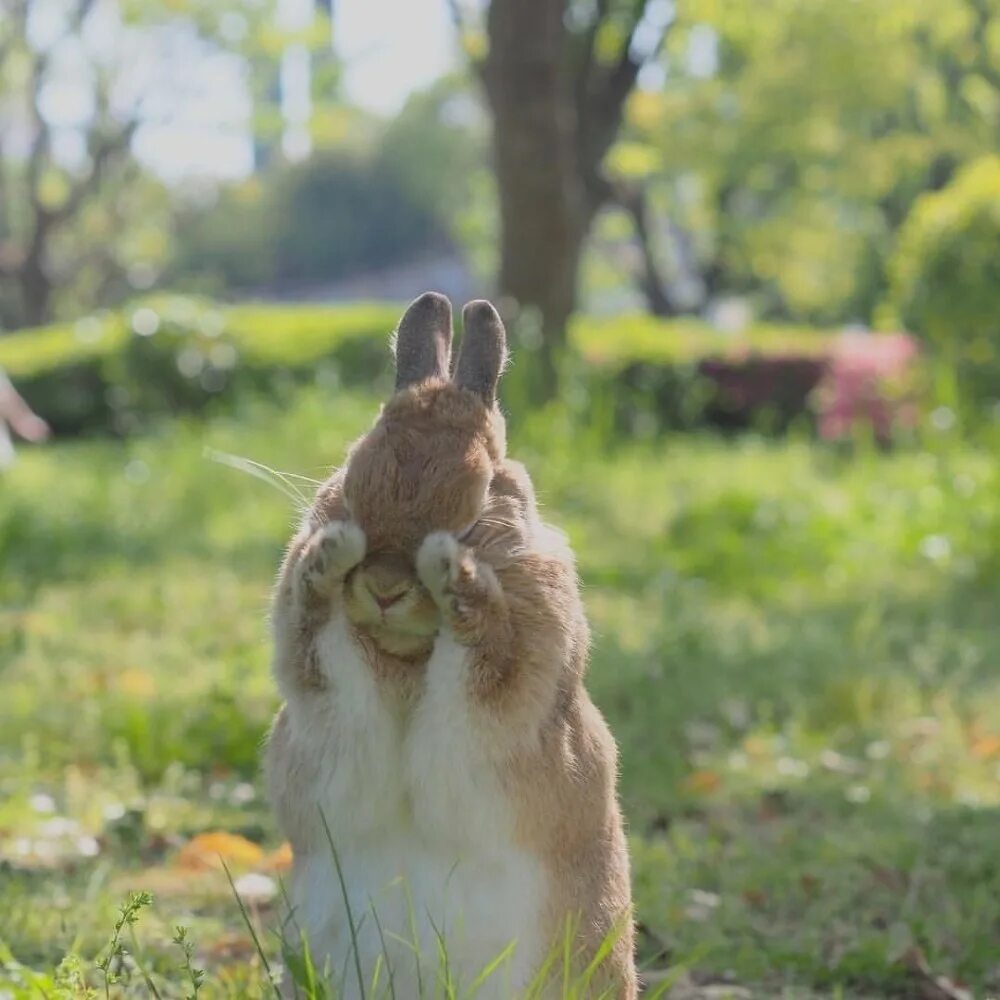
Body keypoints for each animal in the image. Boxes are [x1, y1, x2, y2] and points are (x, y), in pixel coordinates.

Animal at [268, 292, 632, 996]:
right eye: (350, 484)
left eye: (478, 504)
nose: (383, 588)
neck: (407, 655)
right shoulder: (331, 712)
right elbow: (326, 649)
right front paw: (326, 561)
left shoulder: (501, 713)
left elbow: (478, 667)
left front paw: (457, 577)